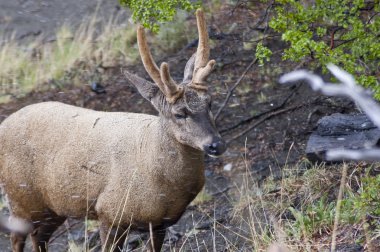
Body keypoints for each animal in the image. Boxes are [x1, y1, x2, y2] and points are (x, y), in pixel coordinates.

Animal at [0, 8, 226, 251]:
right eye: (179, 113)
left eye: (210, 102)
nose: (216, 144)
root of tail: (4, 124)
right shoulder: (110, 211)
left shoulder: (160, 222)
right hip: (20, 196)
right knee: (17, 236)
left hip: (53, 206)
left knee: (39, 236)